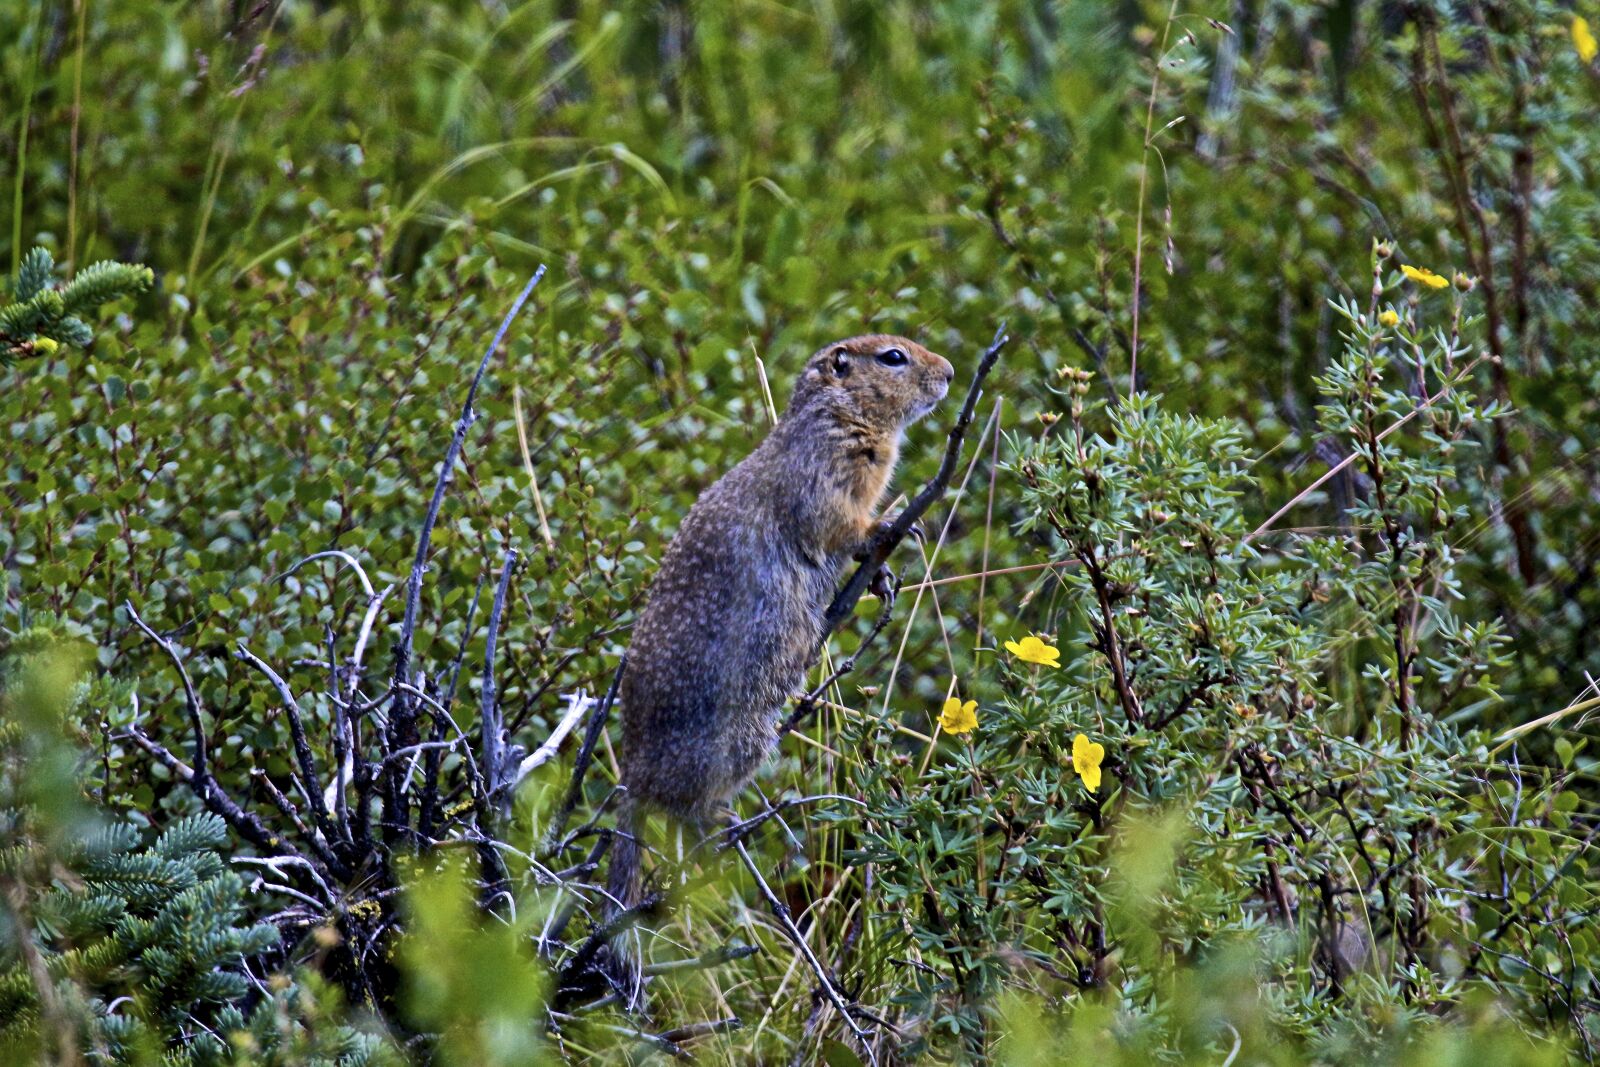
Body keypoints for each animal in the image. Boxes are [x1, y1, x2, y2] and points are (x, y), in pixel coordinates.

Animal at [598, 333, 954, 1005]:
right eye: (893, 356)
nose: (948, 371)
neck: (842, 414)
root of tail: (632, 773)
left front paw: (883, 576)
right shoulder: (827, 468)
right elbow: (836, 520)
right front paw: (890, 527)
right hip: (736, 738)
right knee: (685, 808)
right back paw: (721, 825)